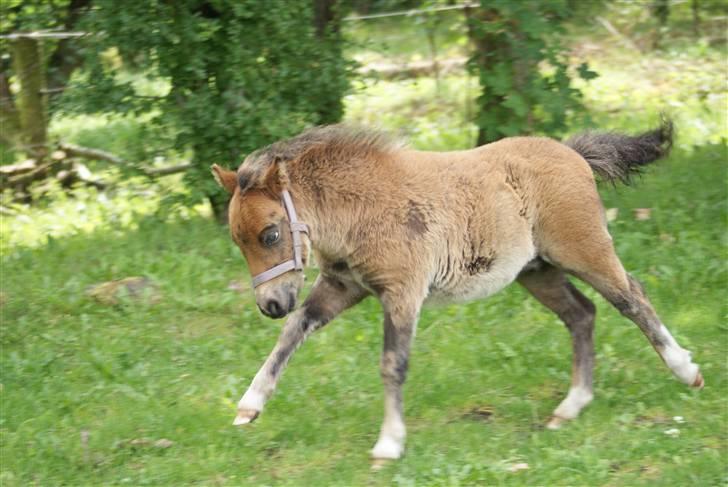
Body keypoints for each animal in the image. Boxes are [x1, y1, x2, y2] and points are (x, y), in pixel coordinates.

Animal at [209, 121, 700, 462]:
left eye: (271, 234)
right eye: (237, 240)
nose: (270, 304)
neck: (359, 207)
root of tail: (572, 153)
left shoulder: (403, 292)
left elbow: (392, 364)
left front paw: (389, 444)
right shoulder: (342, 286)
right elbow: (293, 333)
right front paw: (248, 406)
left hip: (585, 250)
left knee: (631, 298)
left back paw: (686, 371)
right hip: (536, 271)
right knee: (582, 314)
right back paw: (570, 406)